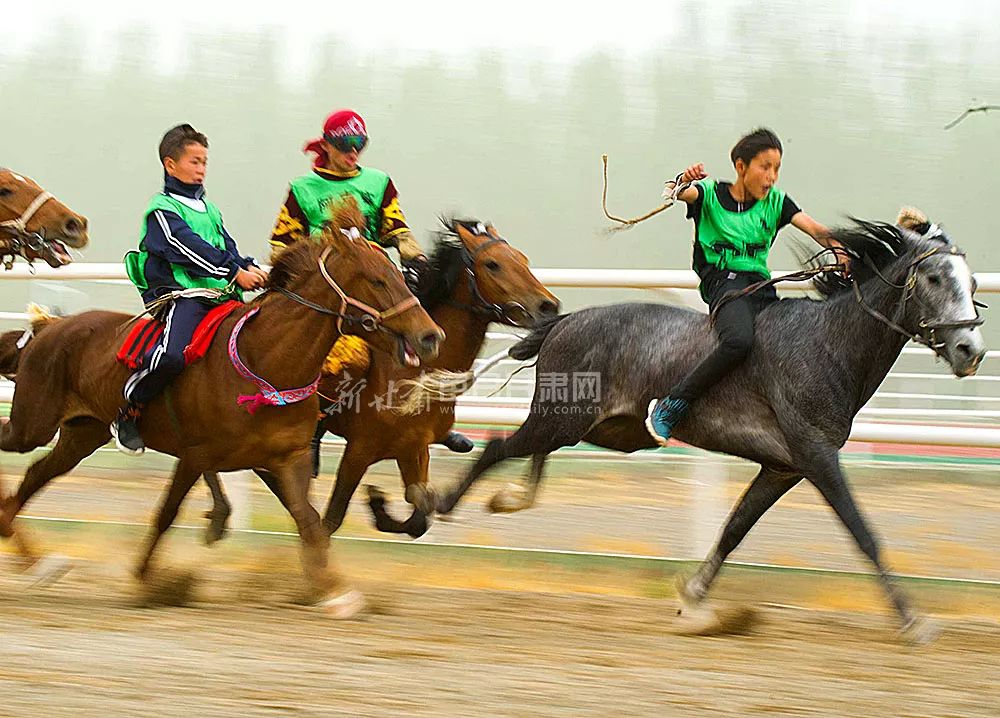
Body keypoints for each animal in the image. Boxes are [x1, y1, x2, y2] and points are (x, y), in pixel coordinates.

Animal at [0, 198, 442, 620]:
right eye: (377, 279)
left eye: (400, 274)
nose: (430, 336)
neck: (266, 362)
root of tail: (48, 327)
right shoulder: (195, 455)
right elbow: (167, 513)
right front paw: (144, 580)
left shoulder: (291, 456)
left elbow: (309, 520)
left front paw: (337, 593)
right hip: (33, 424)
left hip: (82, 433)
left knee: (39, 473)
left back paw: (27, 547)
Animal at [203, 218, 564, 540]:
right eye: (493, 264)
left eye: (522, 259)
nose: (548, 306)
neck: (410, 376)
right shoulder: (360, 449)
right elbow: (333, 518)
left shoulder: (414, 447)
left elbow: (419, 515)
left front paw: (380, 506)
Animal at [436, 211, 984, 644]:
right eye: (934, 278)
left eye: (973, 284)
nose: (971, 351)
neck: (829, 342)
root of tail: (564, 320)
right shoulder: (816, 455)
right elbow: (862, 531)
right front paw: (913, 621)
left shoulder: (783, 468)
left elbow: (734, 528)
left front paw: (695, 600)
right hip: (563, 418)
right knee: (497, 447)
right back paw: (444, 503)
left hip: (607, 429)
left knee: (529, 452)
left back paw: (511, 497)